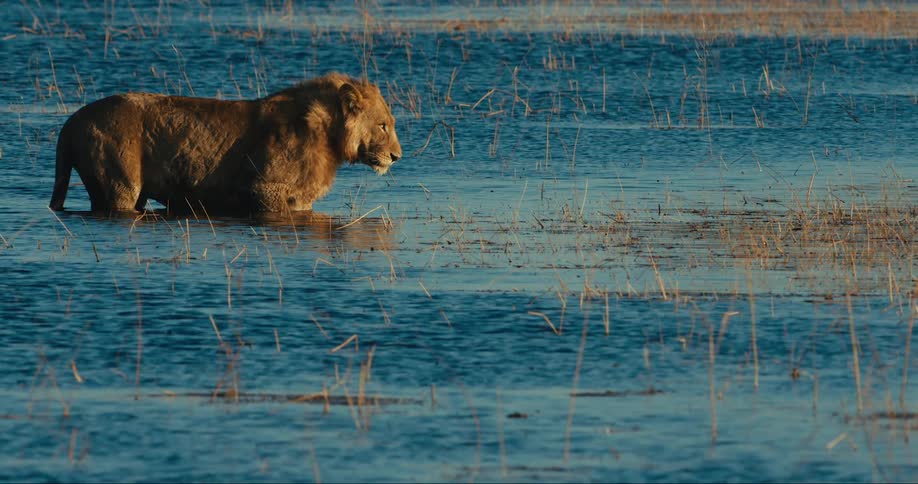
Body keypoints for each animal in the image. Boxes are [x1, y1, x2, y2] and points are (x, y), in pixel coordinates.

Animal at [49, 72, 402, 213]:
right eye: (383, 125)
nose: (397, 156)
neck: (329, 133)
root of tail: (71, 121)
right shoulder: (264, 188)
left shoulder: (300, 198)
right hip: (119, 185)